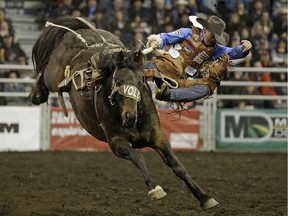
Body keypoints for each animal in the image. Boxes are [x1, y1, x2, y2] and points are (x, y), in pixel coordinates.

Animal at [29, 16, 218, 211]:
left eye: (141, 81)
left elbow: (177, 165)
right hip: (53, 75)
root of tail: (82, 32)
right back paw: (35, 95)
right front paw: (155, 188)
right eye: (118, 81)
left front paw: (204, 197)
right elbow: (138, 156)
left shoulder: (158, 136)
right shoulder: (116, 142)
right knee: (43, 73)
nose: (129, 116)